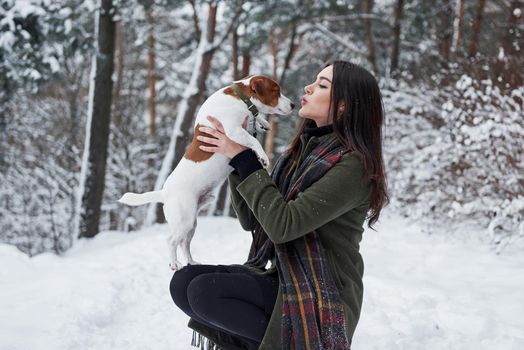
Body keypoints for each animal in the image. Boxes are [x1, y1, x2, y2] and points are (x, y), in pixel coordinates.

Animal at [117, 76, 294, 270]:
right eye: (276, 91)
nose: (293, 105)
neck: (241, 98)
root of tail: (164, 193)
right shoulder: (233, 131)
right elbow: (254, 141)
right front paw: (263, 156)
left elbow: (256, 121)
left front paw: (263, 122)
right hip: (184, 220)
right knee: (171, 241)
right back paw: (174, 263)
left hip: (191, 224)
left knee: (184, 243)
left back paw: (191, 262)